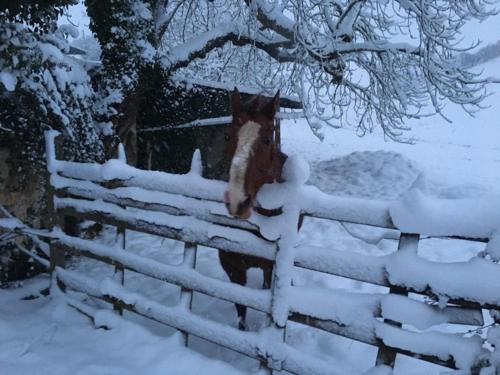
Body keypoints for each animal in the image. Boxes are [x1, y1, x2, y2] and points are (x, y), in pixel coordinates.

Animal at [221, 89, 288, 330]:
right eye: (228, 136)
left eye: (267, 140)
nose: (237, 201)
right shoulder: (234, 269)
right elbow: (241, 311)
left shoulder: (272, 266)